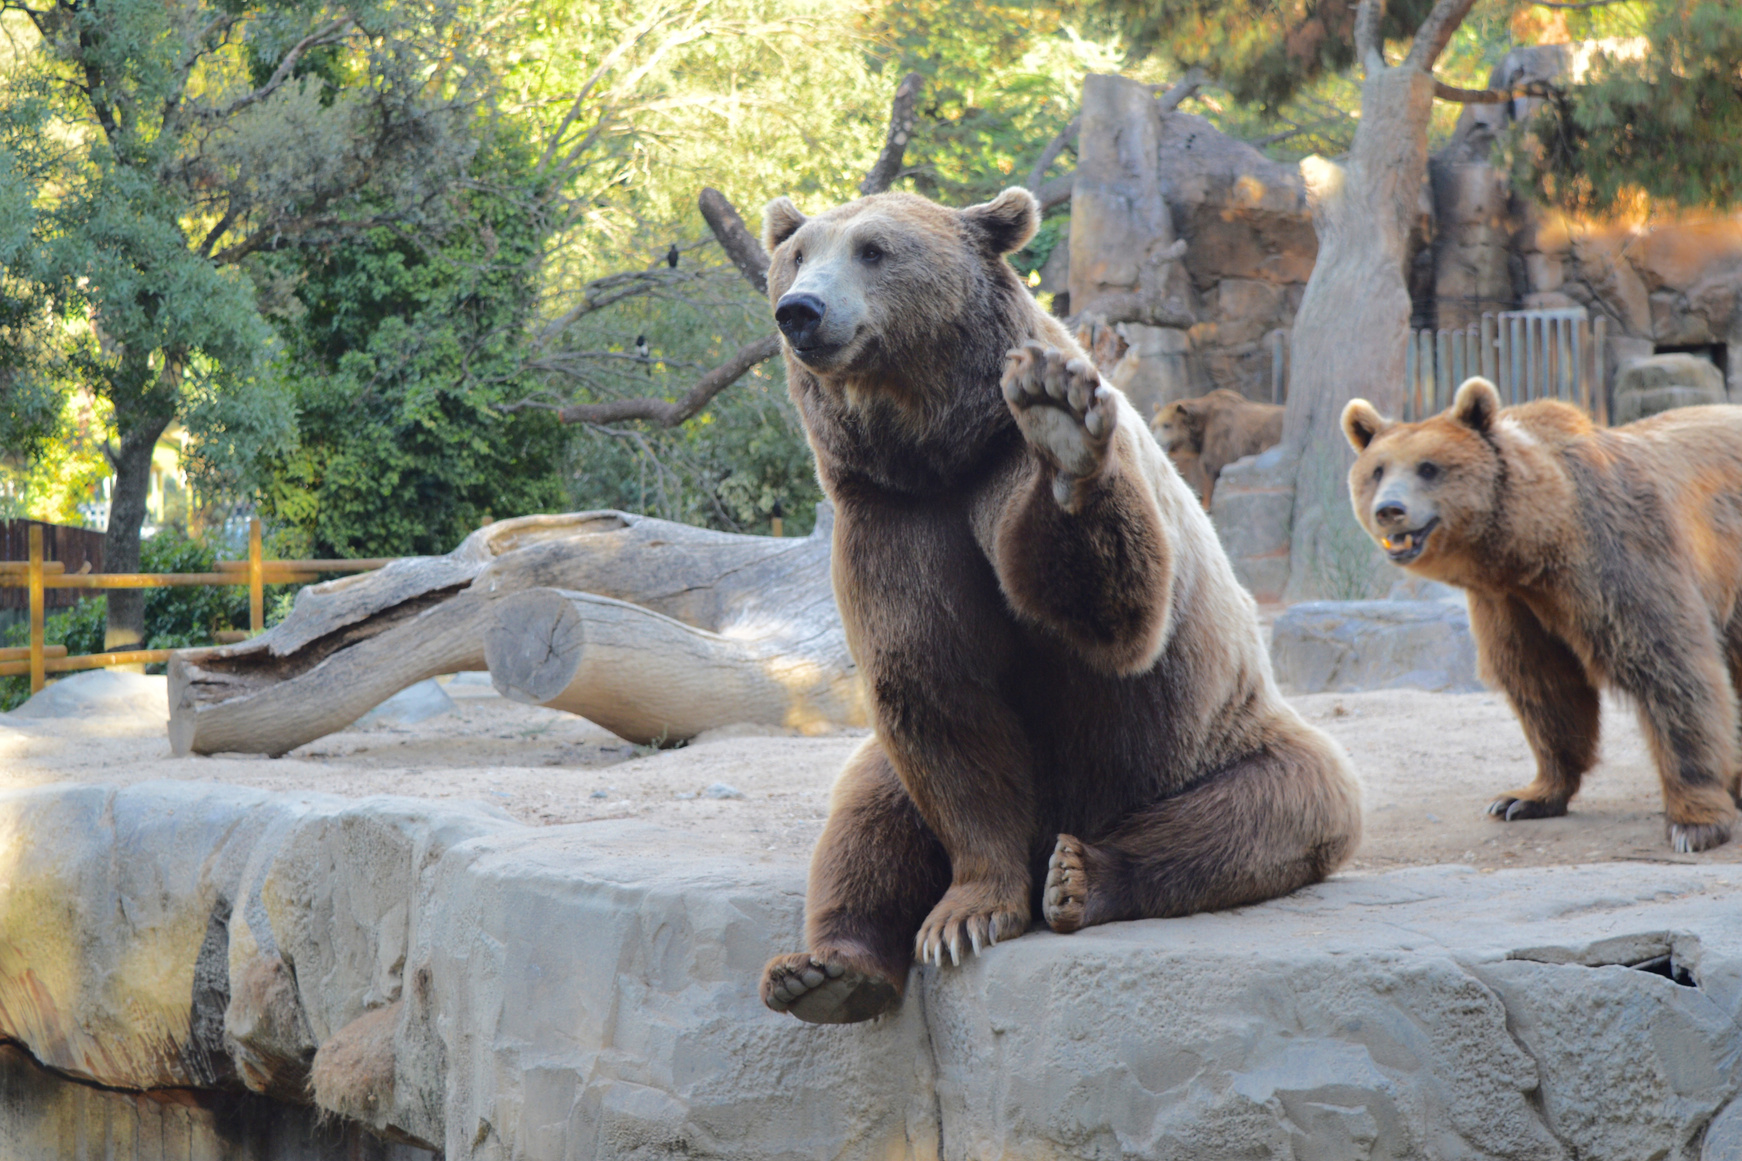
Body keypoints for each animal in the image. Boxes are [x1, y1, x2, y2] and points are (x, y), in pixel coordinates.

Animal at [1149, 388, 1289, 505]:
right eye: (1154, 425)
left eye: (1166, 425)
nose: (1156, 440)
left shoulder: (1220, 437)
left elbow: (1212, 467)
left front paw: (1206, 503)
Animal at [1344, 378, 1742, 850]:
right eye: (1378, 470)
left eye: (1428, 467)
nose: (1390, 510)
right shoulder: (1511, 605)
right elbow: (1544, 686)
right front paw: (1524, 797)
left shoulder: (1619, 559)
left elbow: (1671, 669)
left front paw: (1694, 823)